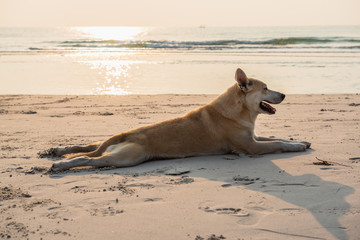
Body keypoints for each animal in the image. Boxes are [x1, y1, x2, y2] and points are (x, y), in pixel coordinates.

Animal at [47, 68, 310, 172]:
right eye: (265, 88)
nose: (284, 95)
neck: (239, 110)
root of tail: (124, 134)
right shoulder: (252, 147)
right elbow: (277, 144)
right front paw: (296, 146)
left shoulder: (253, 137)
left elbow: (276, 136)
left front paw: (301, 141)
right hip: (125, 158)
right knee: (89, 158)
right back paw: (61, 165)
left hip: (112, 149)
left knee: (86, 146)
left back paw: (58, 150)